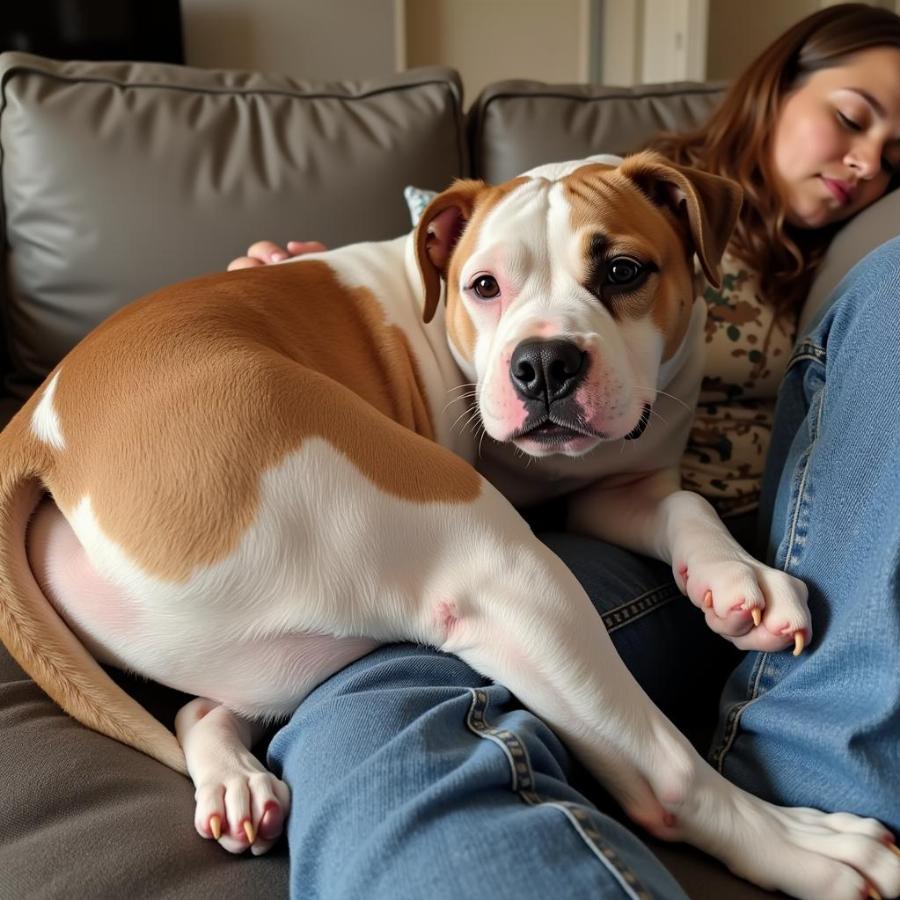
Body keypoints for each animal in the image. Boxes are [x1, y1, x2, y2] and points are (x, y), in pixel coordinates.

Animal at [1, 151, 900, 896]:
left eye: (622, 270)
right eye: (483, 286)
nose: (543, 365)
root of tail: (36, 430)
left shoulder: (619, 485)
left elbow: (685, 504)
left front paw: (737, 583)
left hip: (287, 641)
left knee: (211, 701)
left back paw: (235, 781)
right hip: (494, 564)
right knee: (665, 776)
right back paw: (807, 847)